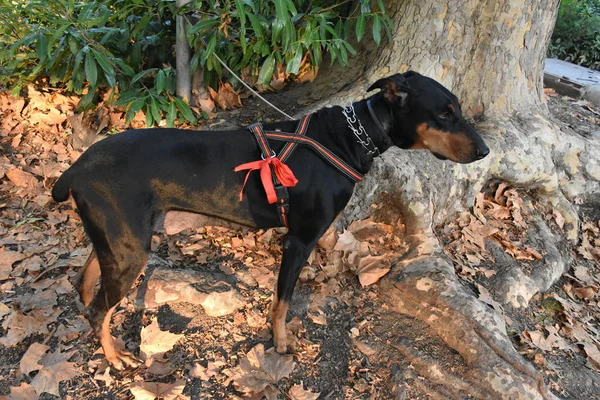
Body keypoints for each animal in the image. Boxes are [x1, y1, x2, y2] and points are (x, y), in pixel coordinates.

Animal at [52, 71, 488, 368]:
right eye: (444, 114)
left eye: (458, 110)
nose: (485, 151)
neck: (349, 137)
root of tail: (75, 170)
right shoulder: (299, 239)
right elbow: (283, 301)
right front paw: (280, 343)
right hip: (130, 248)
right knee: (99, 310)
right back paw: (114, 357)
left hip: (116, 240)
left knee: (85, 283)